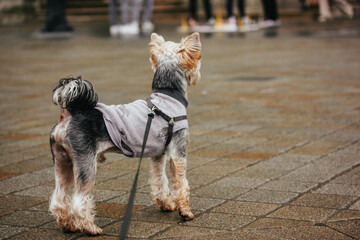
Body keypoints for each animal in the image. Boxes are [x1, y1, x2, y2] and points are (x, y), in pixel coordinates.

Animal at [48, 32, 201, 234]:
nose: (197, 74)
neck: (168, 96)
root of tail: (70, 115)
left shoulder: (158, 154)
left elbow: (159, 180)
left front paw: (166, 204)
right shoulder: (178, 153)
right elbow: (181, 184)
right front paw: (185, 212)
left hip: (62, 162)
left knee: (59, 198)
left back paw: (68, 225)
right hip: (85, 163)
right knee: (79, 200)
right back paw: (90, 227)